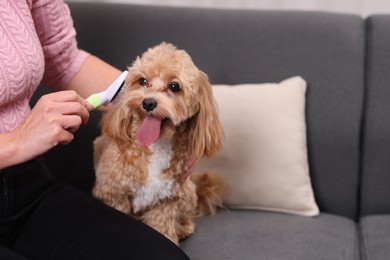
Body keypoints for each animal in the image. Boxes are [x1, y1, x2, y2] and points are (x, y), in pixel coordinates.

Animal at [93, 42, 227, 244]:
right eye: (142, 81)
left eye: (174, 86)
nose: (148, 103)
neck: (155, 146)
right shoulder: (113, 193)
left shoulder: (166, 202)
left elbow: (163, 228)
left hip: (187, 192)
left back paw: (184, 227)